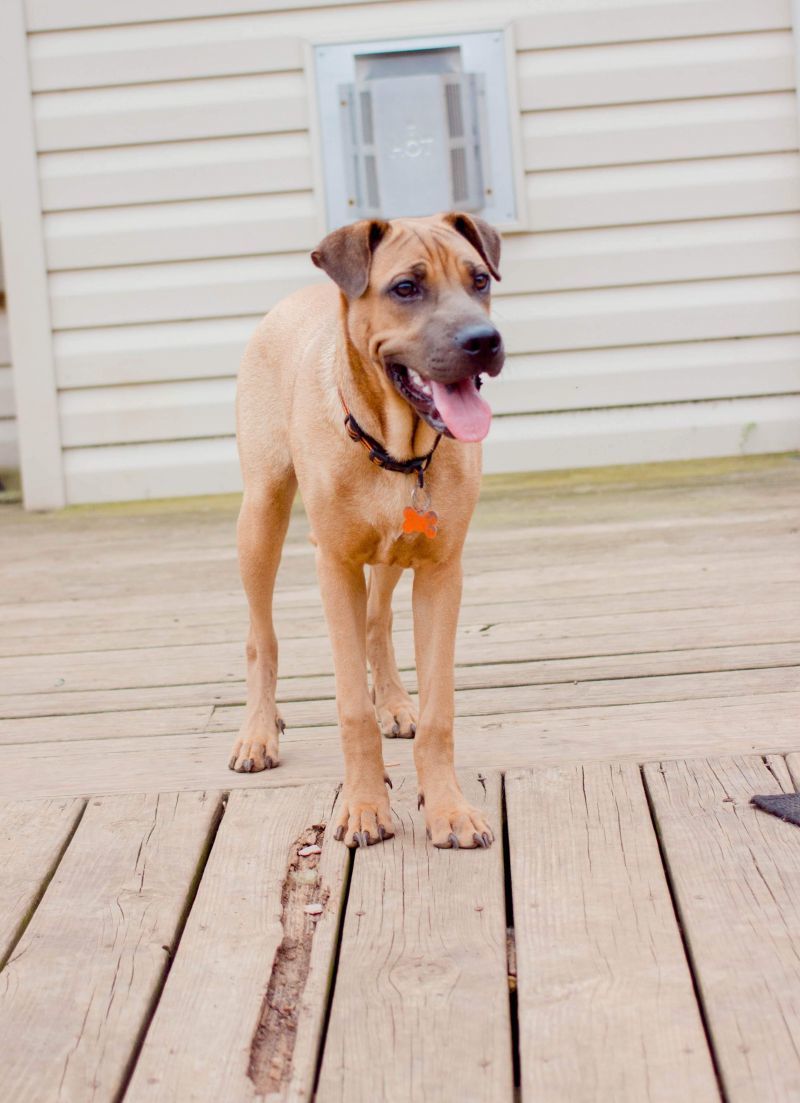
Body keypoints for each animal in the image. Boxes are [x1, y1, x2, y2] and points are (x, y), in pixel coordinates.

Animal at [230, 210, 503, 847]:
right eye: (405, 288)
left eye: (480, 279)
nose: (484, 342)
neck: (396, 448)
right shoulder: (335, 566)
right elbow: (352, 707)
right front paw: (362, 807)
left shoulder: (440, 569)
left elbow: (439, 711)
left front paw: (448, 807)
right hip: (262, 515)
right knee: (261, 637)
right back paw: (258, 730)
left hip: (392, 551)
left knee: (378, 623)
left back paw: (396, 702)